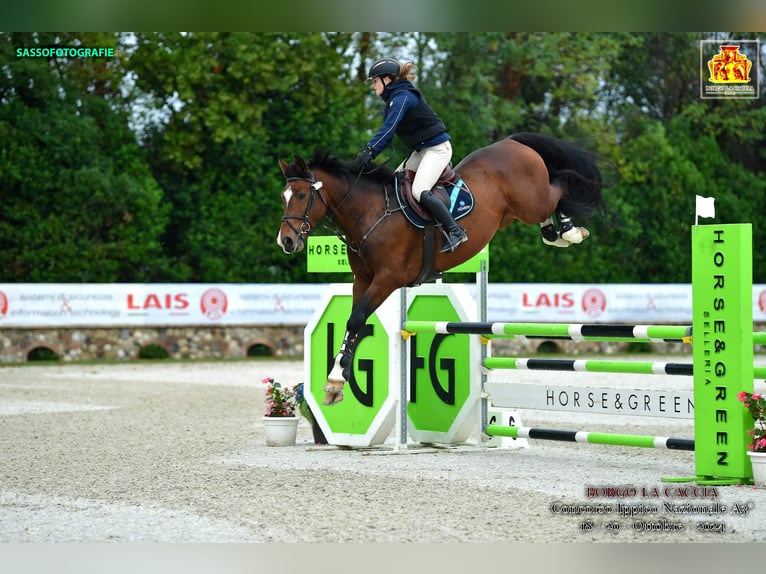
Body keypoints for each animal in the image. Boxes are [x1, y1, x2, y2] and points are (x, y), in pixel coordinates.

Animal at [280, 133, 608, 408]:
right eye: (284, 196)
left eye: (301, 195)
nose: (286, 241)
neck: (370, 213)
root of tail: (512, 142)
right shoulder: (363, 280)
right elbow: (352, 322)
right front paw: (336, 380)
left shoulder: (387, 279)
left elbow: (357, 318)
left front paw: (337, 377)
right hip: (515, 212)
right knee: (550, 203)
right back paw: (555, 233)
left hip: (531, 201)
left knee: (561, 186)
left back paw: (570, 231)